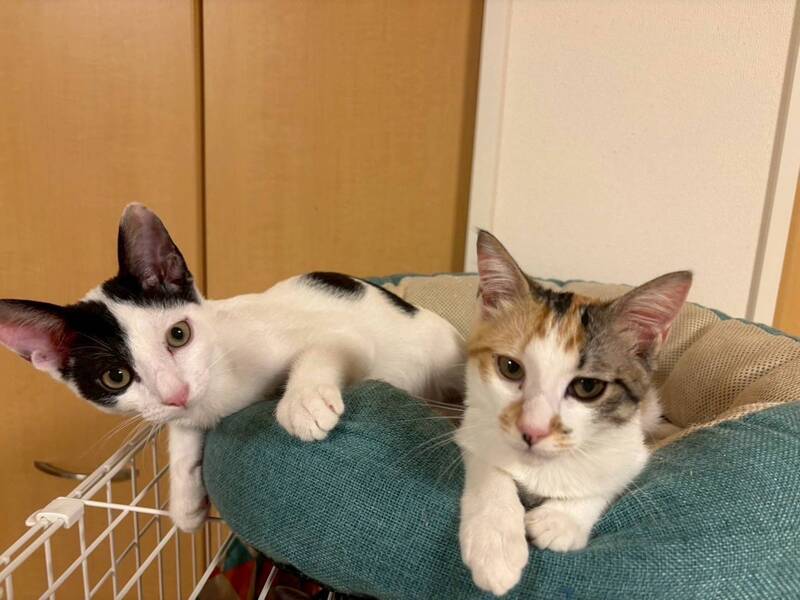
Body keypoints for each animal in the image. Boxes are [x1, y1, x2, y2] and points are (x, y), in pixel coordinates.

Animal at [0, 204, 464, 532]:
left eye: (178, 335)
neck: (221, 384)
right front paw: (185, 500)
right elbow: (181, 430)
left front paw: (302, 404)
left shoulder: (347, 339)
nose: (176, 393)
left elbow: (324, 349)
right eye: (115, 377)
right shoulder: (185, 410)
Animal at [457, 230, 690, 596]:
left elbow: (612, 476)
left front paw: (561, 520)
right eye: (510, 367)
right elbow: (487, 464)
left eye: (587, 387)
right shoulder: (473, 423)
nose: (533, 430)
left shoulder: (632, 448)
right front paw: (494, 543)